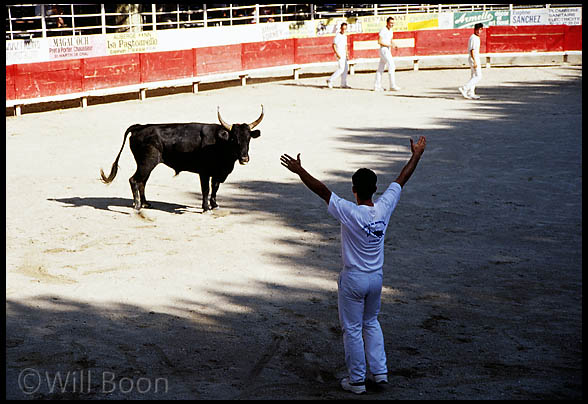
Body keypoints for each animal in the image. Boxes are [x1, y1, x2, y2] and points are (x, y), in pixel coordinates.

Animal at [101, 105, 264, 213]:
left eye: (248, 138)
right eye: (234, 139)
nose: (244, 158)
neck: (219, 143)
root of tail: (140, 127)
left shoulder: (217, 172)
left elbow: (215, 187)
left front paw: (214, 204)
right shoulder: (204, 172)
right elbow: (206, 189)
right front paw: (206, 208)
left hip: (146, 164)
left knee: (142, 181)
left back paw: (146, 203)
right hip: (146, 163)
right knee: (134, 180)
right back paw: (137, 206)